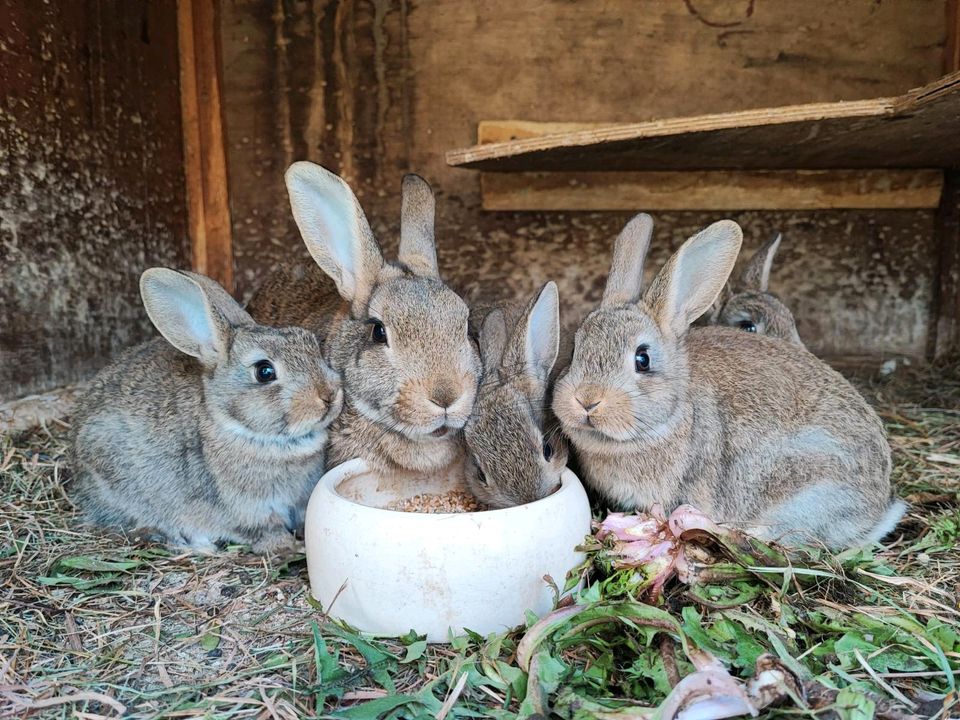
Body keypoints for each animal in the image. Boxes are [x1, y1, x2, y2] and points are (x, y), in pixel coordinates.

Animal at [71, 268, 344, 556]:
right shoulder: (248, 509)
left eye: (311, 343)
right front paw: (289, 548)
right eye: (264, 371)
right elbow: (265, 531)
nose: (329, 395)